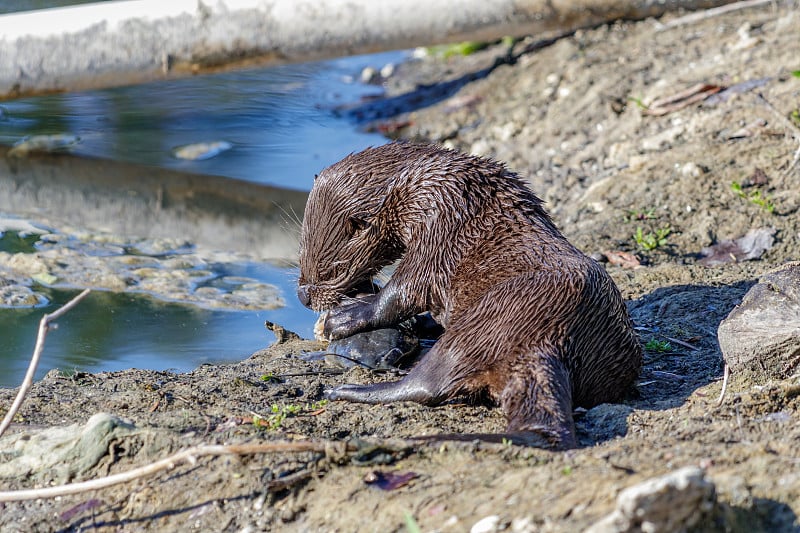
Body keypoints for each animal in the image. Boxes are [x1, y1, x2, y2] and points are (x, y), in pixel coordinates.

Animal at [296, 142, 640, 448]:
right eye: (299, 255)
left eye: (332, 271)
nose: (302, 296)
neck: (419, 185)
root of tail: (553, 339)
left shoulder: (438, 227)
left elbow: (402, 292)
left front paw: (342, 319)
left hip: (490, 319)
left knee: (428, 384)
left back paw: (347, 390)